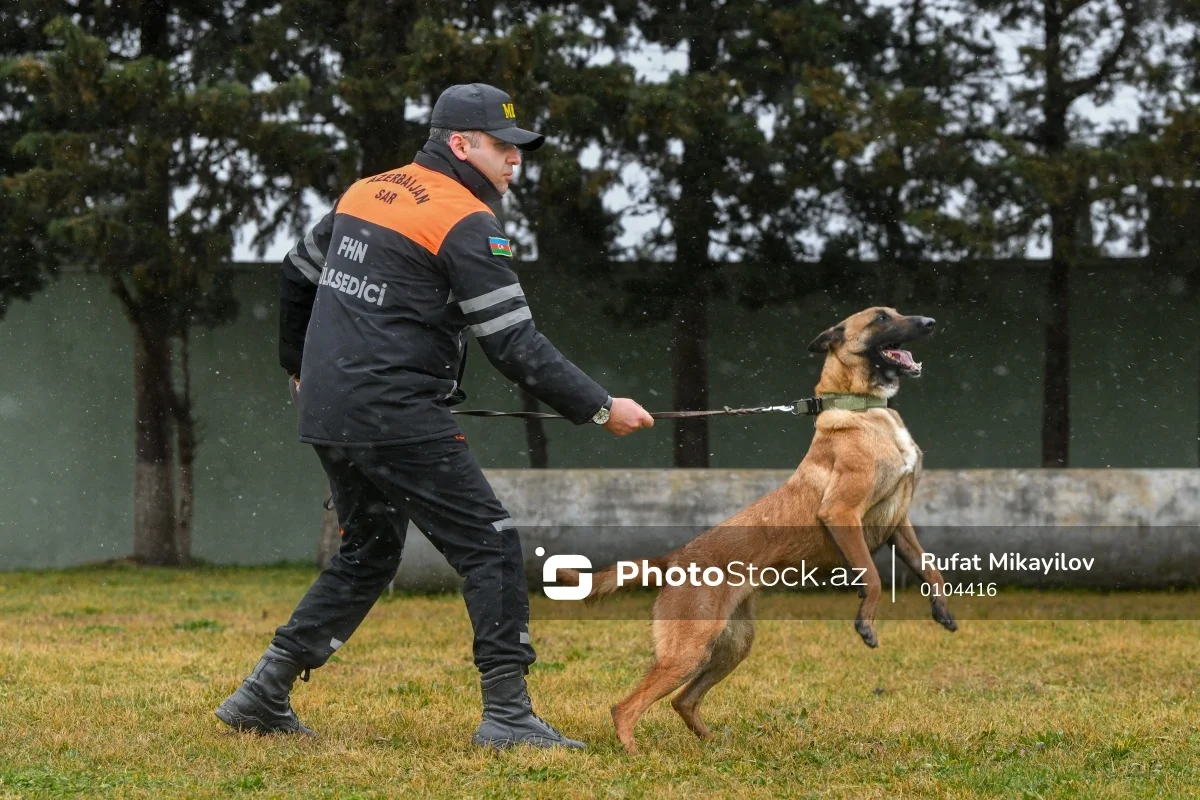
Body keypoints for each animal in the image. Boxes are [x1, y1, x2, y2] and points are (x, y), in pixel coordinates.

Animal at [556, 307, 960, 758]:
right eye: (880, 318)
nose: (929, 322)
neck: (861, 409)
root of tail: (675, 559)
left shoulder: (898, 521)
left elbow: (930, 569)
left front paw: (942, 610)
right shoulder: (842, 512)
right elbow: (871, 576)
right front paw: (866, 623)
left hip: (732, 645)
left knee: (683, 700)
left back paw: (715, 745)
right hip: (689, 649)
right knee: (625, 707)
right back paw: (637, 755)